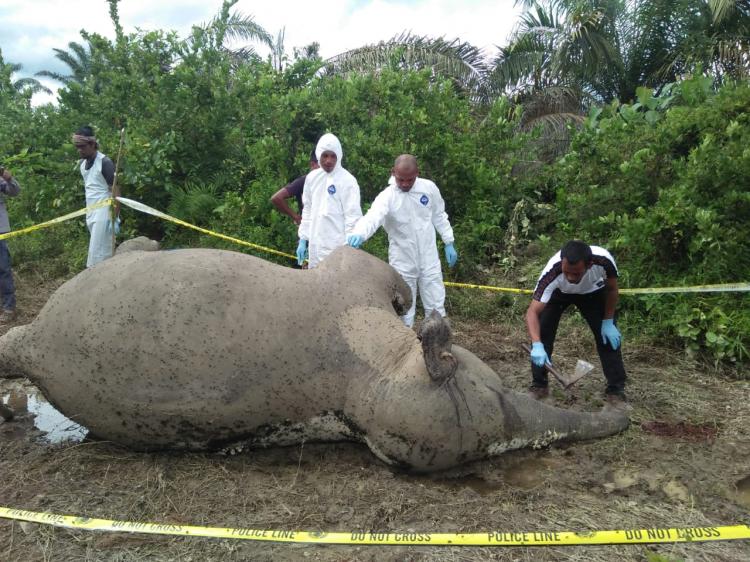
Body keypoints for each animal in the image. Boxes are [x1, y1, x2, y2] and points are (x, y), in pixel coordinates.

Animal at [0, 245, 628, 468]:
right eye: (496, 391)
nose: (620, 420)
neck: (375, 371)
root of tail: (32, 346)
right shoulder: (355, 275)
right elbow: (388, 282)